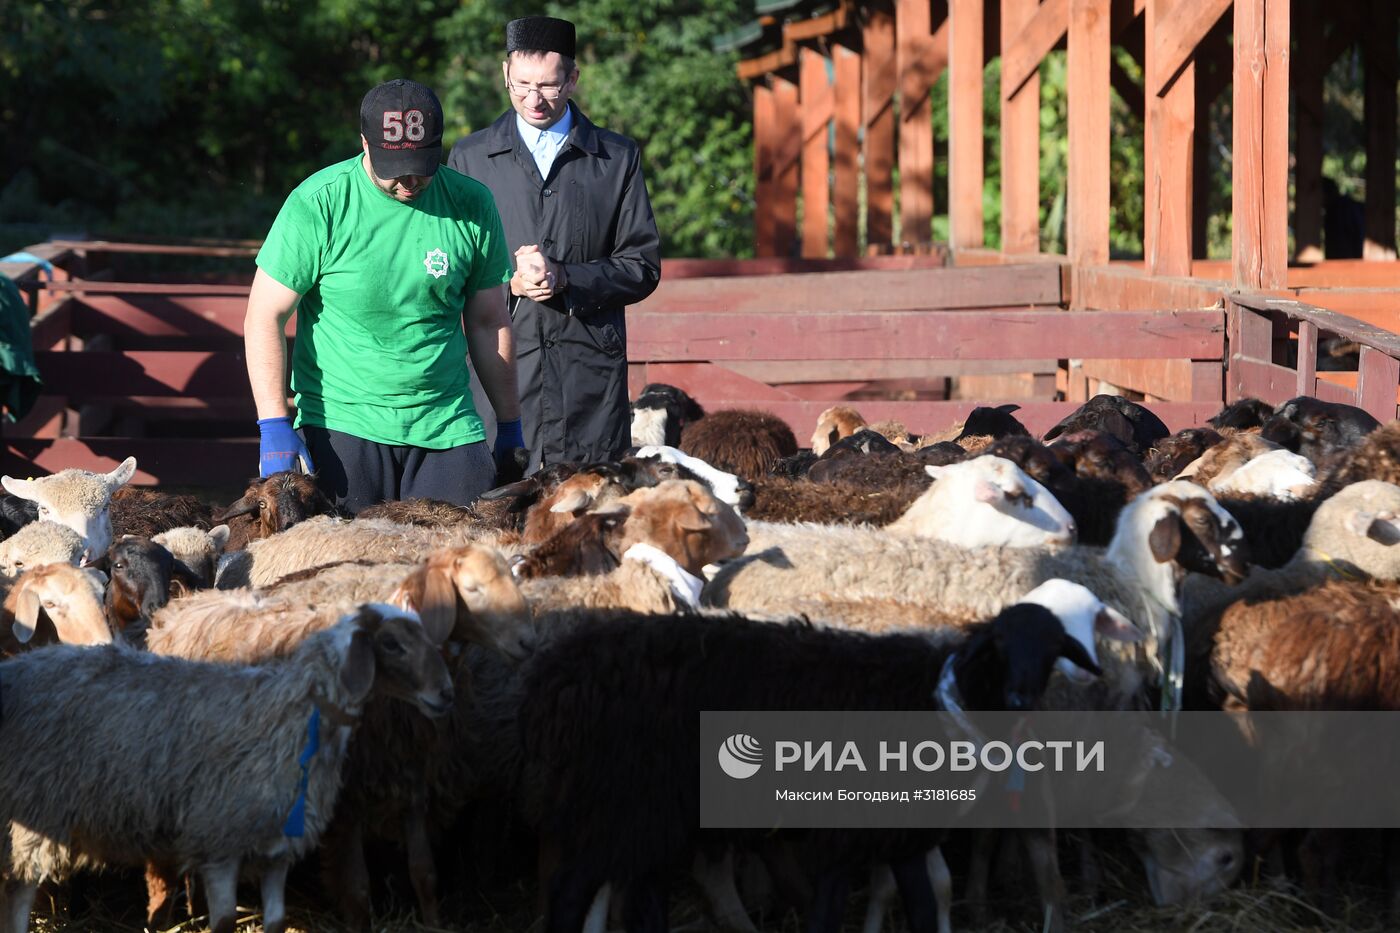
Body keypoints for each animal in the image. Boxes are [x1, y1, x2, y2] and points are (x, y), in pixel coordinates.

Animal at [0, 599, 448, 930]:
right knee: (19, 889)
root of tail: (21, 665)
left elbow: (275, 922)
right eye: (391, 644)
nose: (446, 693)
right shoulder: (219, 841)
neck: (292, 712)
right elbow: (225, 923)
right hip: (35, 811)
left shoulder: (276, 849)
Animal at [520, 582, 1131, 930]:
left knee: (639, 886)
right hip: (626, 799)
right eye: (1001, 644)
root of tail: (562, 669)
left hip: (648, 810)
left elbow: (923, 905)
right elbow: (831, 913)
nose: (1021, 698)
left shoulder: (901, 834)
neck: (935, 696)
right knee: (573, 888)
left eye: (1053, 649)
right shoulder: (845, 831)